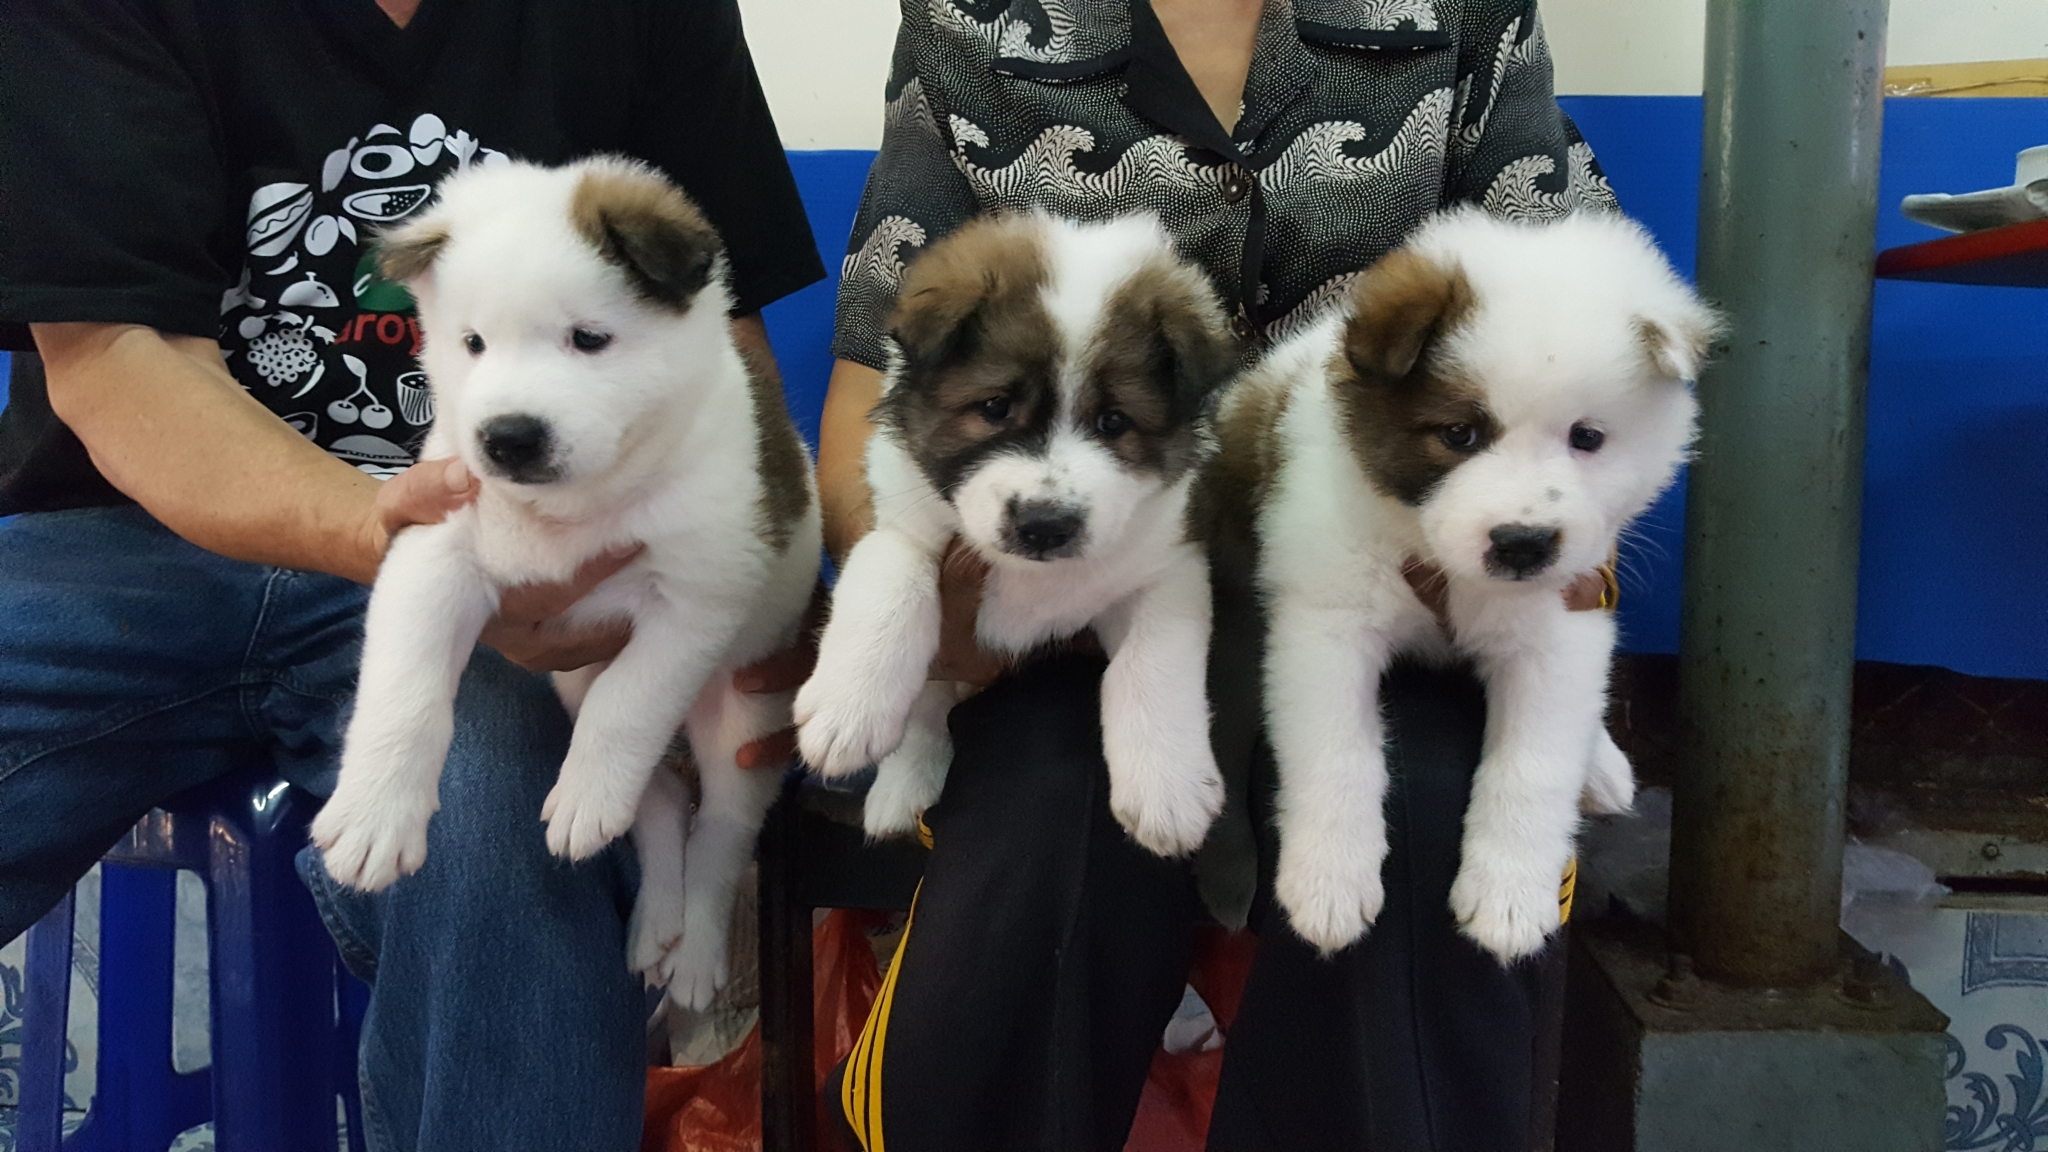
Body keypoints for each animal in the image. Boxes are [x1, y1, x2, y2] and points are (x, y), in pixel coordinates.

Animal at [309, 157, 821, 1009]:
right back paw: (652, 920)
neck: (570, 509)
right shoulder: (434, 555)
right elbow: (403, 692)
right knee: (660, 800)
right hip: (574, 678)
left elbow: (629, 703)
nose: (508, 438)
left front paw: (588, 787)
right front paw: (375, 810)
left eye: (589, 339)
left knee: (717, 828)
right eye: (472, 343)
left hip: (745, 713)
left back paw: (691, 945)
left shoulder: (699, 595)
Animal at [795, 212, 1233, 855]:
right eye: (995, 407)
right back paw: (900, 792)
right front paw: (847, 709)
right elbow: (891, 585)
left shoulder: (1168, 567)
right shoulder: (896, 521)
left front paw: (1167, 787)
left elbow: (1151, 662)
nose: (1044, 526)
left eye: (1114, 421)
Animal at [1211, 207, 1716, 961]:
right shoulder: (1327, 624)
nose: (1523, 543)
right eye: (1459, 434)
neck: (1441, 560)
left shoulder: (1559, 627)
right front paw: (1328, 880)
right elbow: (1336, 751)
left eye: (1587, 437)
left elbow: (1534, 765)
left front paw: (1510, 896)